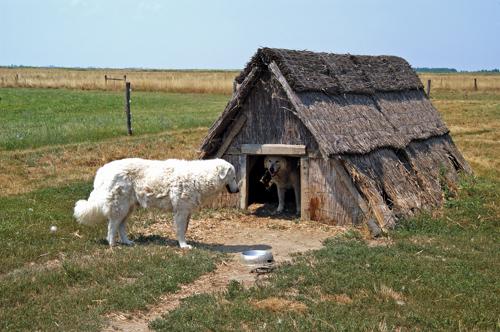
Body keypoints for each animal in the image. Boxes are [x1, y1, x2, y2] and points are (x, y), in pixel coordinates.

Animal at [72, 159, 240, 249]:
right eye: (233, 177)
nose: (238, 190)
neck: (200, 177)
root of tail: (103, 170)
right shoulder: (181, 211)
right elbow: (180, 230)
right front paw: (183, 245)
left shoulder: (187, 211)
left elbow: (184, 229)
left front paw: (185, 242)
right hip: (120, 206)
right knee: (112, 226)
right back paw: (112, 244)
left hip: (128, 208)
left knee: (121, 226)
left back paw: (127, 242)